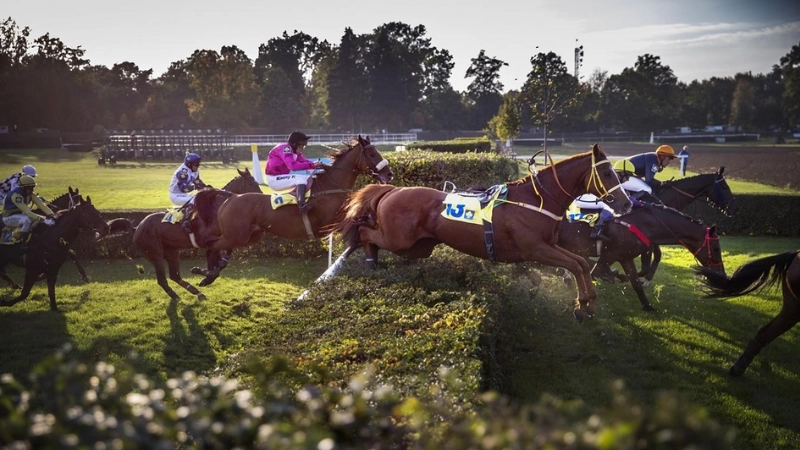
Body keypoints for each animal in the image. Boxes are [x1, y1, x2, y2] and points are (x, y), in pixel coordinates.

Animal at [132, 167, 260, 300]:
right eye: (251, 184)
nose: (260, 199)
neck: (216, 210)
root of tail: (138, 227)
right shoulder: (208, 241)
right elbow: (214, 268)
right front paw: (202, 274)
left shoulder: (224, 240)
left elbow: (222, 262)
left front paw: (206, 277)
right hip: (155, 255)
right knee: (162, 279)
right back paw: (176, 296)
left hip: (172, 251)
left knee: (175, 276)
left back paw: (196, 292)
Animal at [195, 135, 394, 286]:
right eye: (371, 153)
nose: (389, 174)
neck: (330, 187)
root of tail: (230, 197)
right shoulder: (332, 222)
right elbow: (358, 229)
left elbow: (362, 228)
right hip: (236, 235)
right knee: (211, 245)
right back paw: (208, 274)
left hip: (246, 237)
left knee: (218, 247)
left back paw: (208, 271)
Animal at [328, 143, 628, 320]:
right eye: (608, 174)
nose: (626, 203)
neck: (537, 199)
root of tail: (392, 190)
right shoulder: (535, 249)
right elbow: (575, 265)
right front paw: (583, 303)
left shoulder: (548, 246)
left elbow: (580, 263)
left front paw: (587, 302)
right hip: (399, 240)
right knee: (365, 233)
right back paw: (365, 259)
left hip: (419, 247)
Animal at [556, 203, 724, 312]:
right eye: (716, 248)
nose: (721, 273)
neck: (642, 225)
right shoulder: (609, 256)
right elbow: (594, 271)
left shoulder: (625, 257)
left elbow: (636, 282)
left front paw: (647, 306)